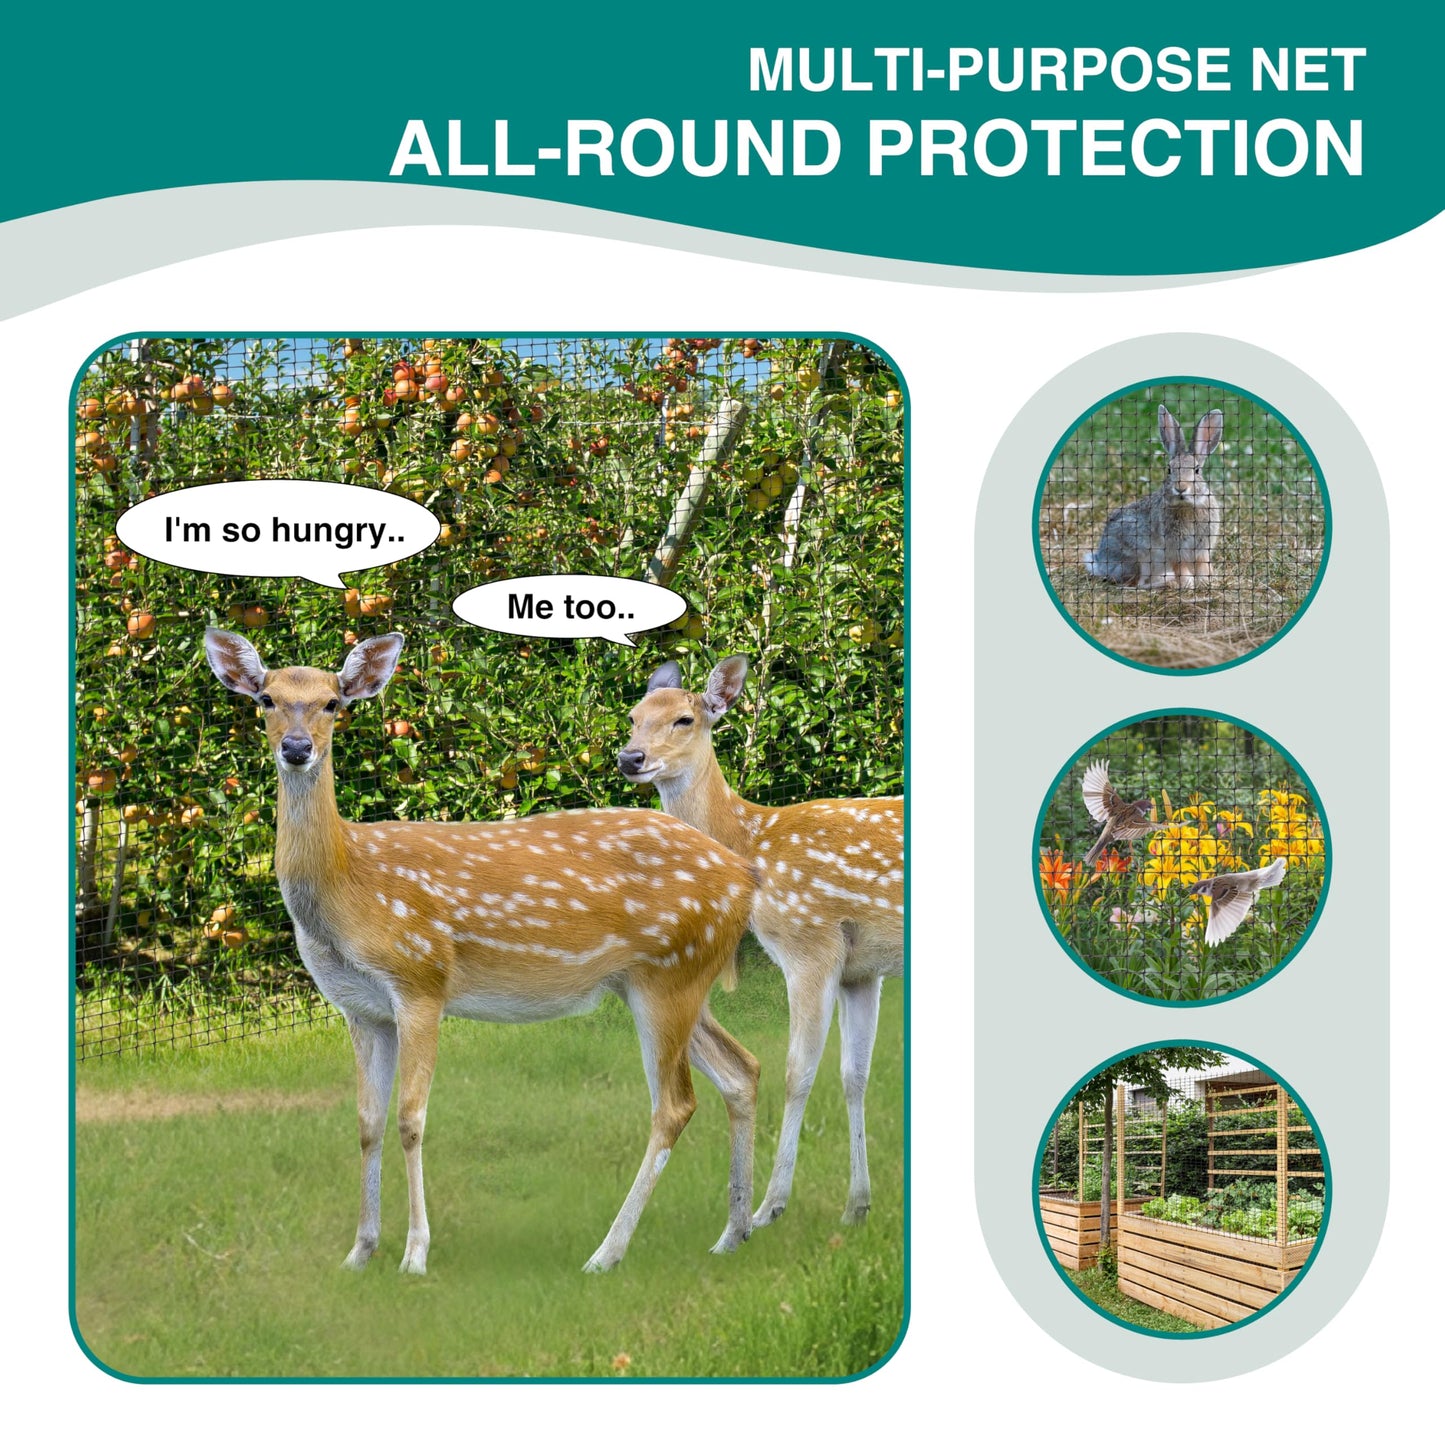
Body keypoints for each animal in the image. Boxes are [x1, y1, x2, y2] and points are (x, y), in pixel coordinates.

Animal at [204, 627, 762, 1275]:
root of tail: (745, 875)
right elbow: (367, 1121)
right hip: (663, 980)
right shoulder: (359, 1008)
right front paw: (360, 1251)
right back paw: (734, 1232)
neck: (349, 888)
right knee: (741, 1069)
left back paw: (607, 1253)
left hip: (670, 974)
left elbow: (410, 1119)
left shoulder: (421, 978)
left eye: (332, 703)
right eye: (265, 699)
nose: (297, 748)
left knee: (674, 1105)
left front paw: (415, 1254)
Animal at [619, 656, 903, 1230]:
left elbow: (798, 1072)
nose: (629, 758)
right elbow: (854, 1074)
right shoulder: (862, 968)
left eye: (685, 719)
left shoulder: (808, 942)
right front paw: (857, 1206)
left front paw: (768, 1207)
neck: (752, 844)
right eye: (633, 716)